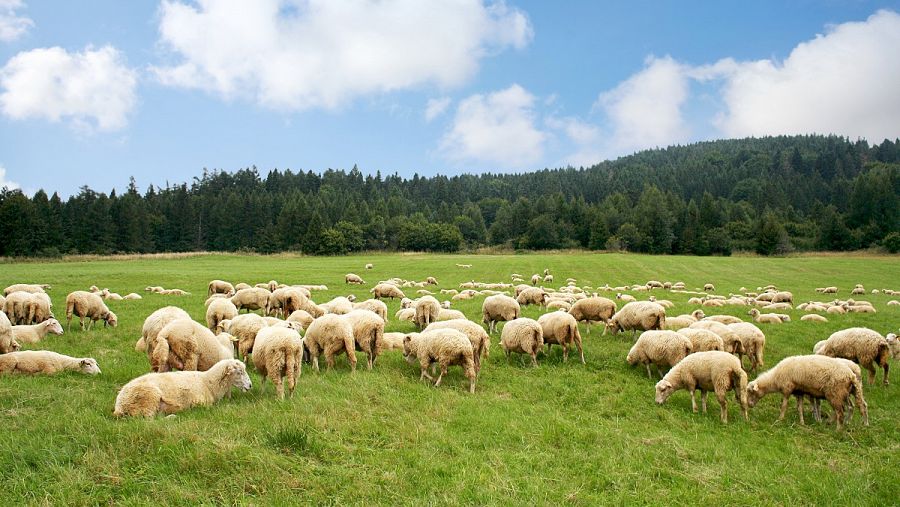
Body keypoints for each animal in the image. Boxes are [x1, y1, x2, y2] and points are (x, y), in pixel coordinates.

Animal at [113, 359, 251, 417]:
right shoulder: (201, 403)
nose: (250, 385)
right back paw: (172, 416)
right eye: (239, 372)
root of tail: (119, 405)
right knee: (148, 420)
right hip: (149, 398)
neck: (208, 382)